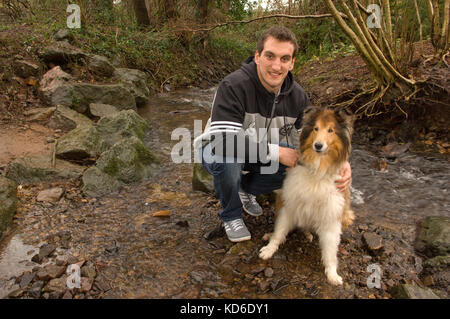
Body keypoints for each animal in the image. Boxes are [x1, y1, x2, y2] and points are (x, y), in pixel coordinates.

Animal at [260, 106, 356, 286]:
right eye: (315, 128)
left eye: (330, 130)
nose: (318, 145)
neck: (318, 168)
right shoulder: (289, 203)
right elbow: (279, 231)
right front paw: (269, 249)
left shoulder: (331, 217)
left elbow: (330, 252)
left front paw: (332, 274)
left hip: (346, 215)